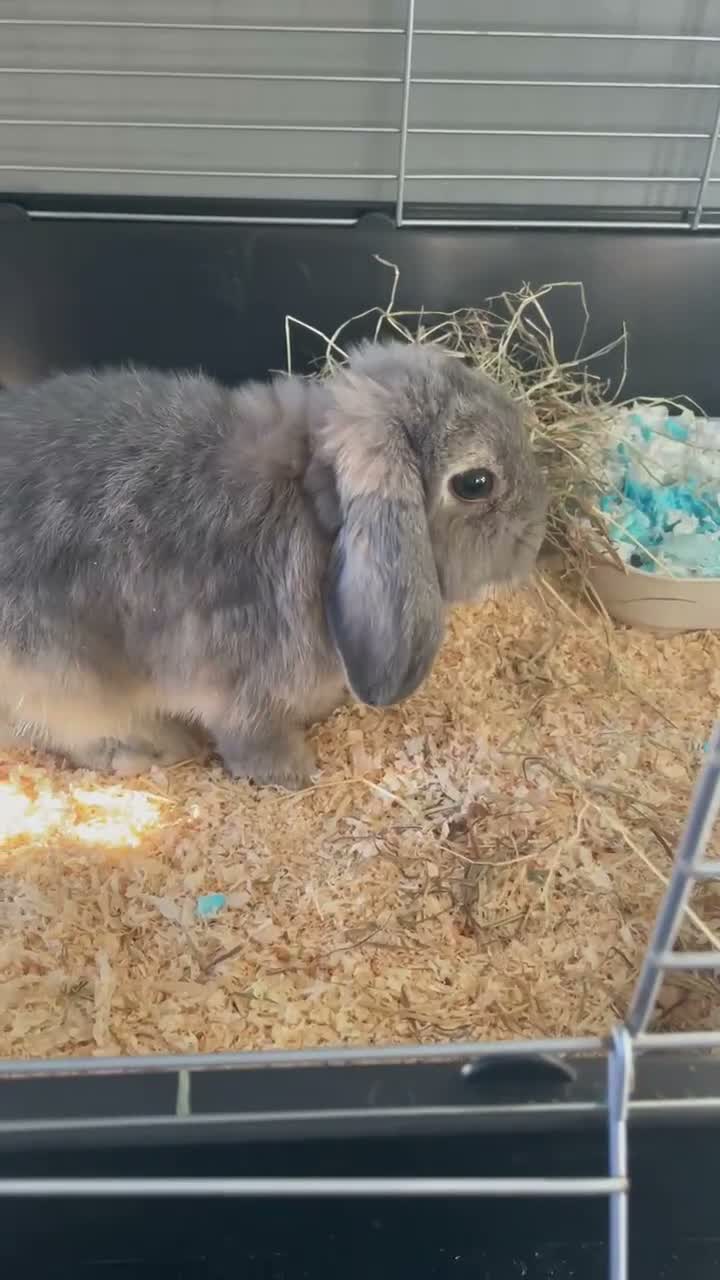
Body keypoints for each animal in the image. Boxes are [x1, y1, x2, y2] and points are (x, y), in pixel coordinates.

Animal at [0, 340, 547, 787]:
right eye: (476, 483)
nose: (534, 541)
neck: (315, 510)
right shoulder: (245, 692)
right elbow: (253, 741)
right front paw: (294, 774)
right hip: (62, 680)